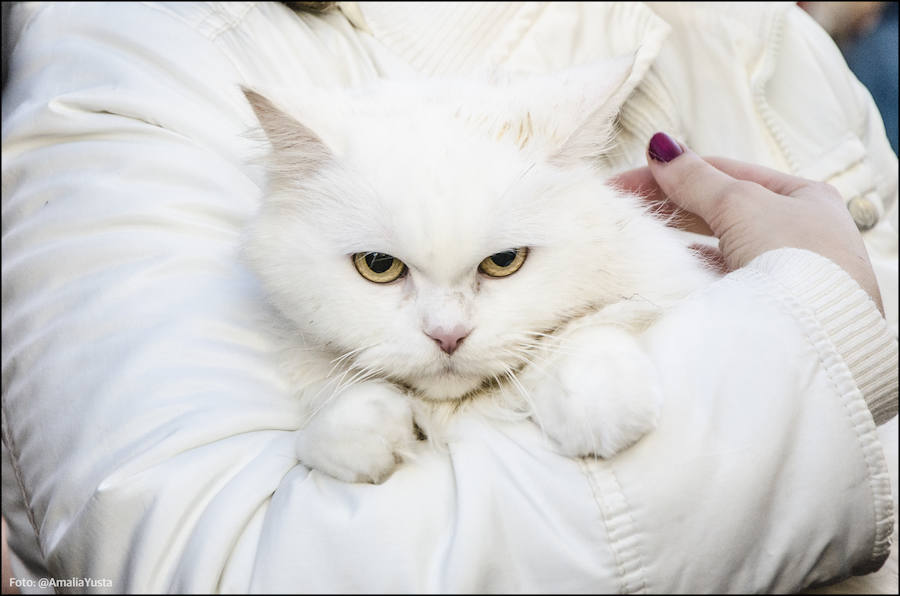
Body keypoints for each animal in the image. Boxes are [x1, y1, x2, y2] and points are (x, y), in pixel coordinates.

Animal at [241, 62, 716, 484]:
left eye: (503, 261)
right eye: (378, 266)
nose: (448, 335)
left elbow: (585, 329)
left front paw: (600, 401)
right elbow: (329, 424)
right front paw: (365, 431)